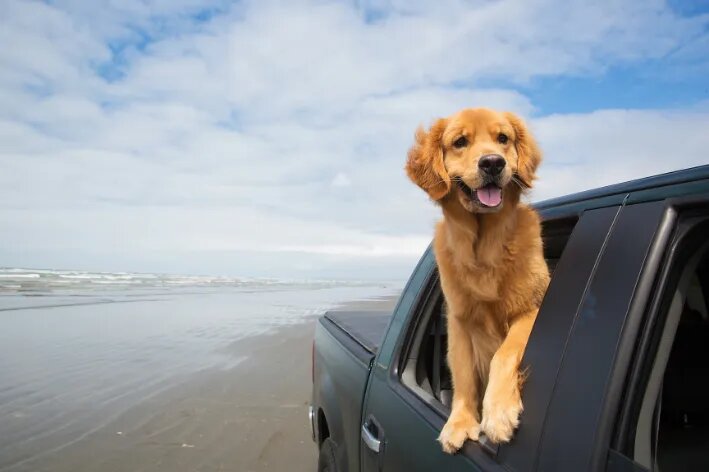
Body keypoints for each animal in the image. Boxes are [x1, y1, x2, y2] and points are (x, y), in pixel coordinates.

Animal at [406, 109, 552, 452]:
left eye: (503, 139)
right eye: (460, 142)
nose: (493, 163)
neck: (484, 245)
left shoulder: (533, 308)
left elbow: (505, 353)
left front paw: (498, 411)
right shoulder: (458, 321)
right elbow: (462, 375)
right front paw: (460, 421)